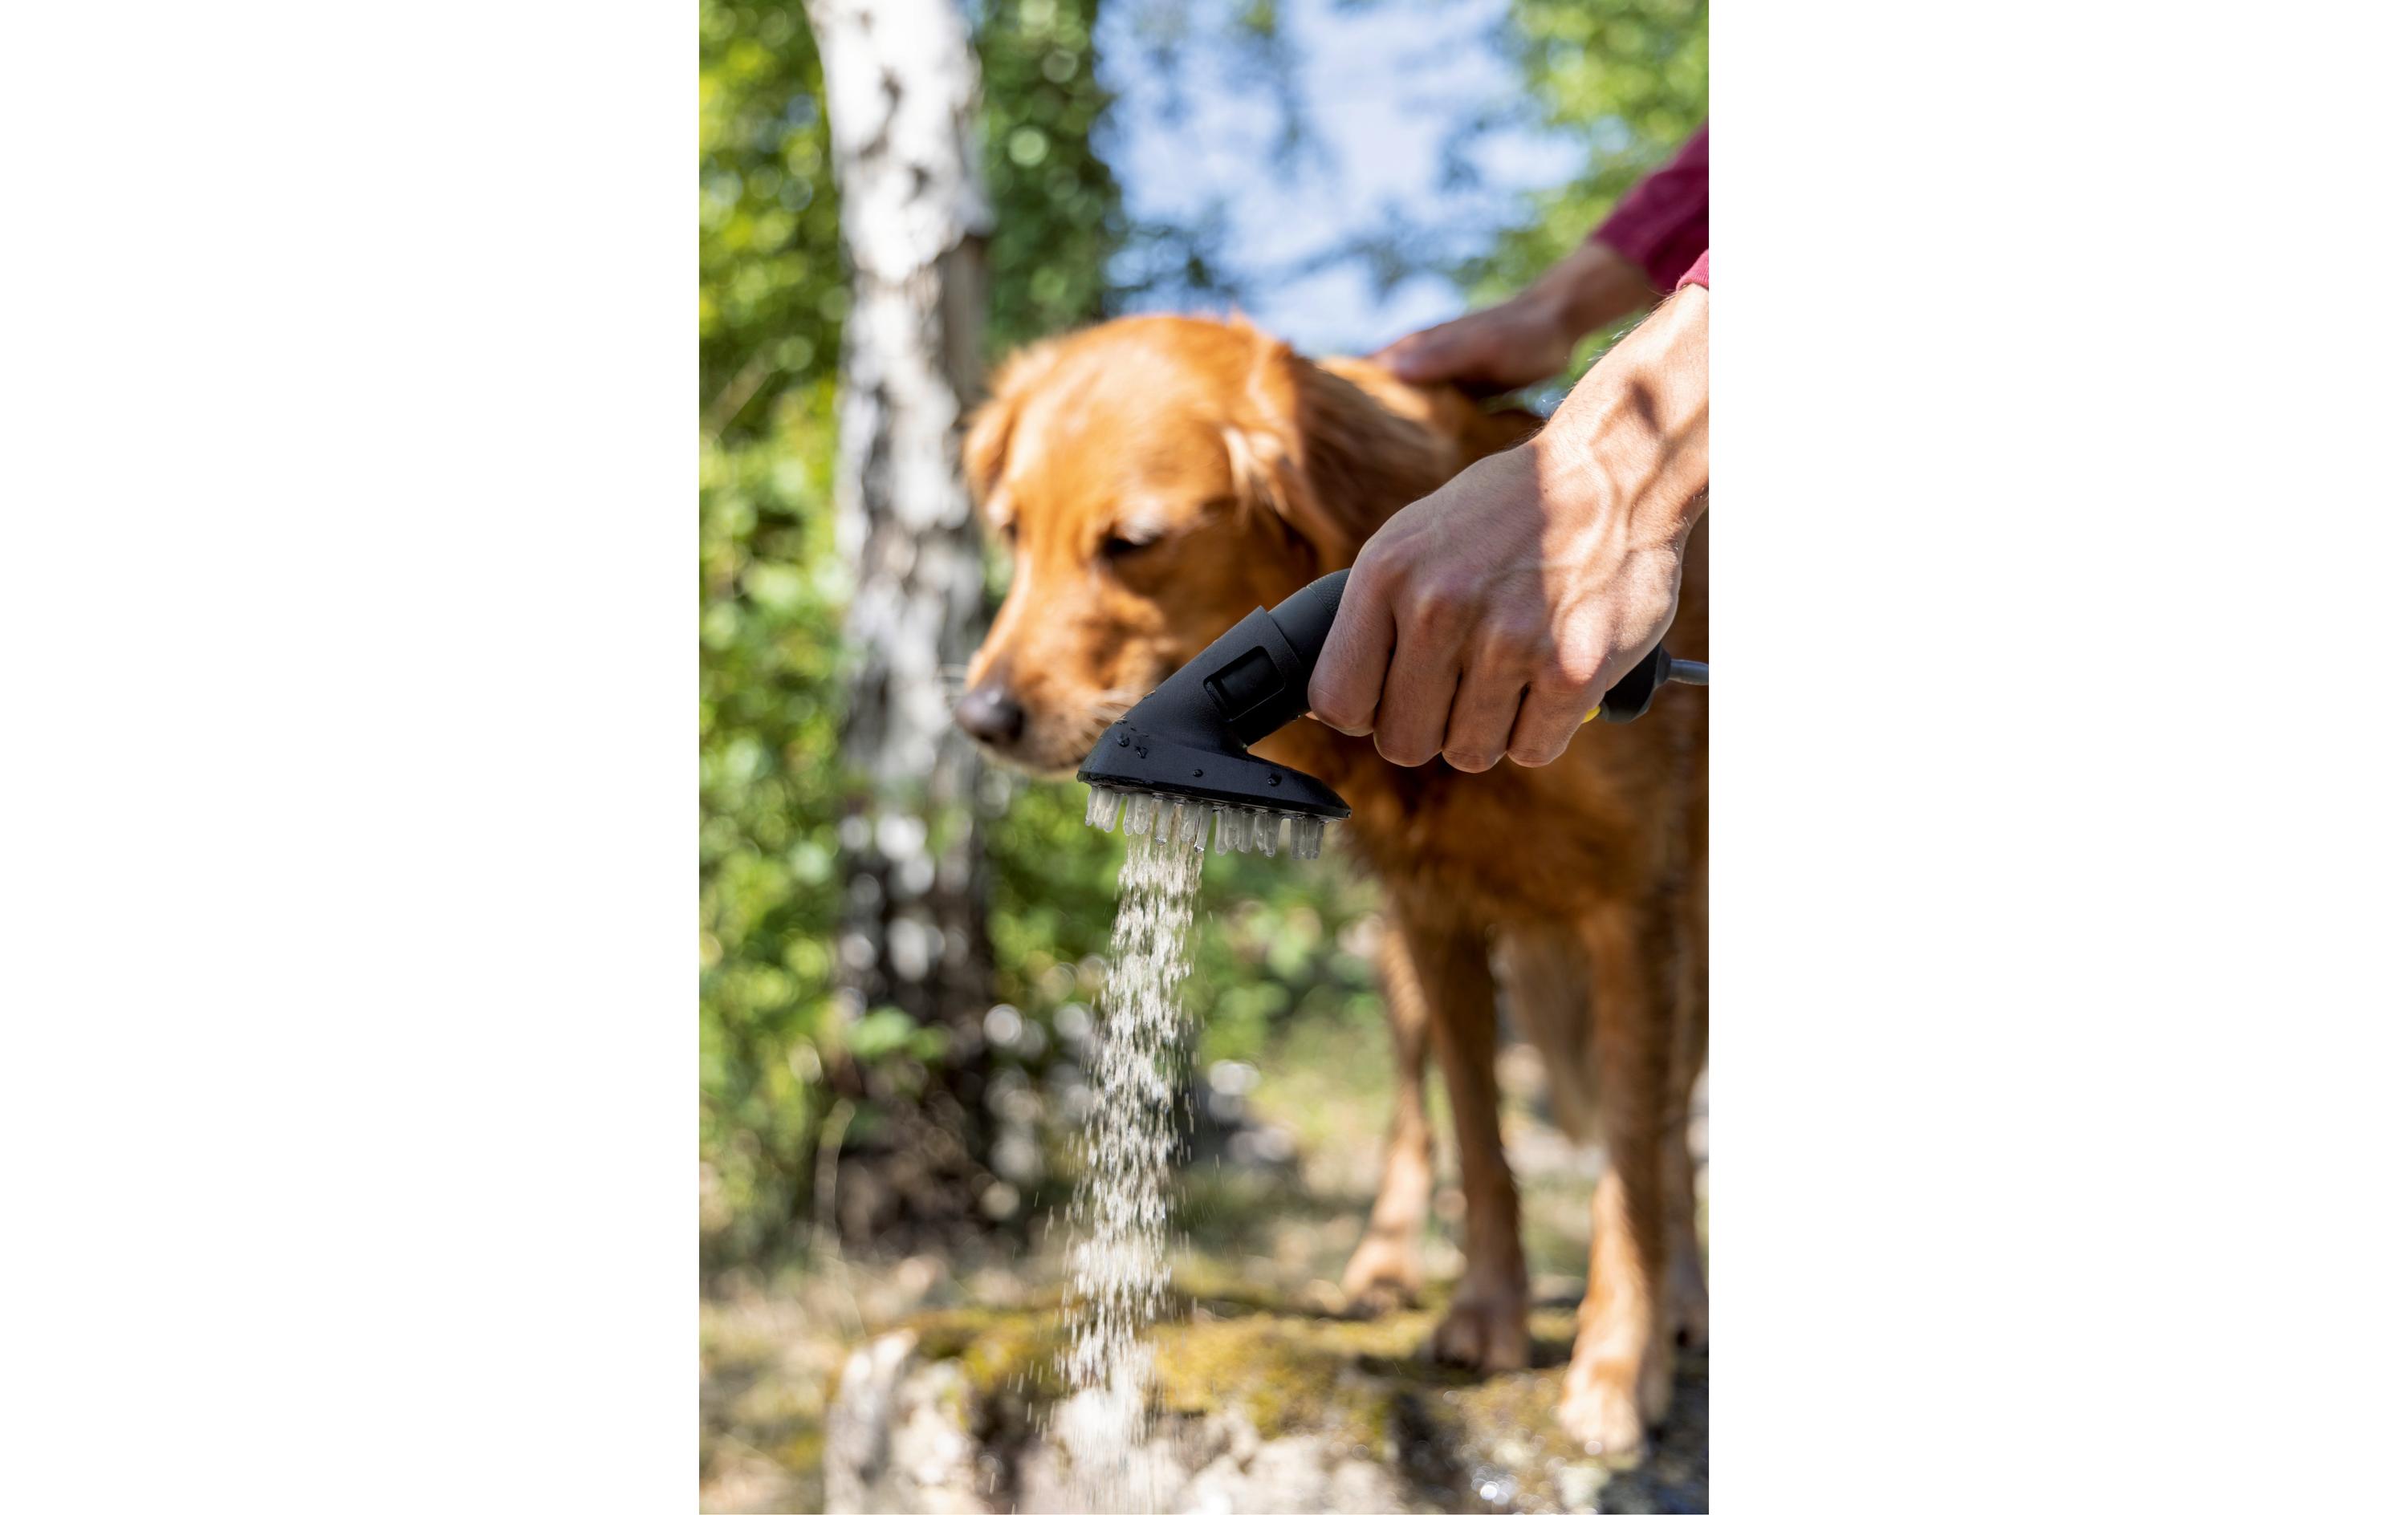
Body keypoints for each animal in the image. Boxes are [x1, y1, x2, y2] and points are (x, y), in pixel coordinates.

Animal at [949, 311, 1705, 1454]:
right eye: (1011, 531)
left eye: (1134, 544)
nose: (981, 718)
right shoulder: (1436, 912)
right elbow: (1481, 1140)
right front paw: (1488, 1314)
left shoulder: (1637, 911)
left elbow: (1635, 1162)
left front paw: (1618, 1365)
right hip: (1396, 950)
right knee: (1414, 1106)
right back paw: (1386, 1265)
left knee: (1670, 1132)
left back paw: (1686, 1302)